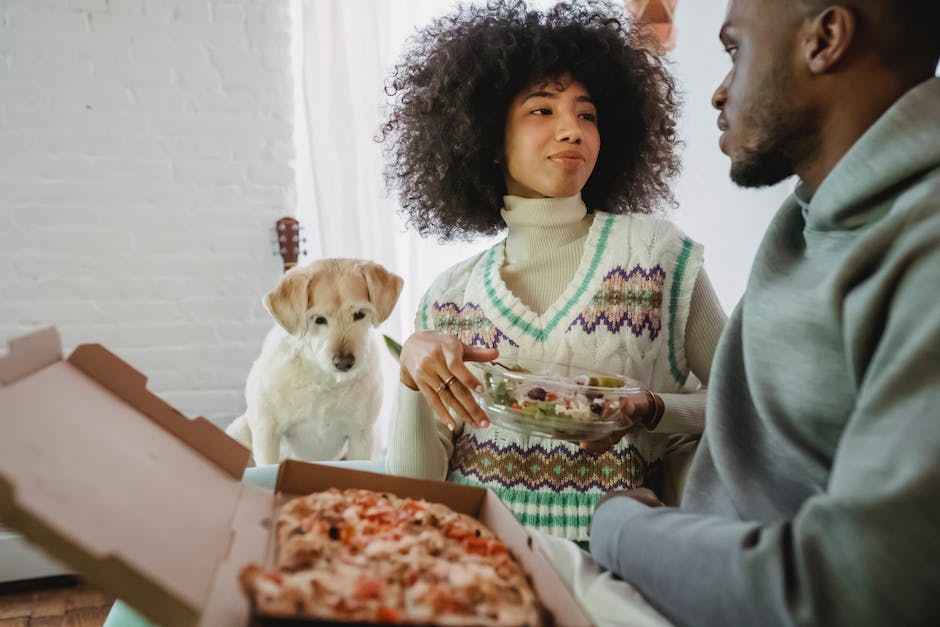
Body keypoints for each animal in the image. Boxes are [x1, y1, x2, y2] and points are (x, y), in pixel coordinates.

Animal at [229, 256, 406, 466]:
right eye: (319, 319)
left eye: (359, 314)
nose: (344, 362)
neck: (324, 379)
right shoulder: (267, 431)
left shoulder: (361, 435)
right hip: (238, 430)